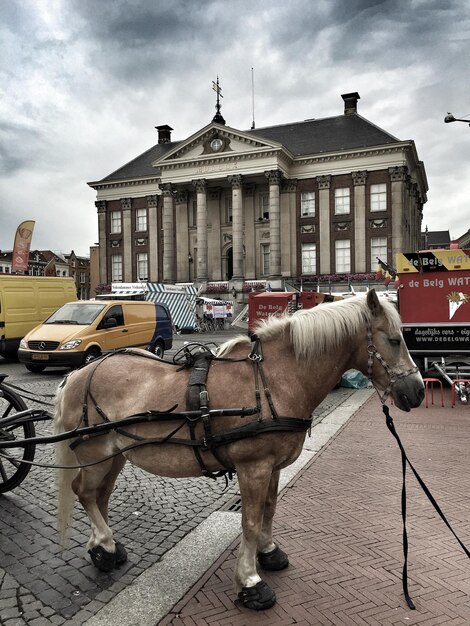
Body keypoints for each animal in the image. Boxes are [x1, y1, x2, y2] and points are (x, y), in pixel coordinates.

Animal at [53, 288, 424, 608]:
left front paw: (269, 552)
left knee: (99, 496)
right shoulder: (253, 467)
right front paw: (250, 581)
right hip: (95, 453)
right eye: (394, 340)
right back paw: (104, 544)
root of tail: (78, 374)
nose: (417, 391)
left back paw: (104, 548)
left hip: (114, 455)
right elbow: (249, 521)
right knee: (83, 492)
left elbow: (269, 510)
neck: (275, 379)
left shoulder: (273, 467)